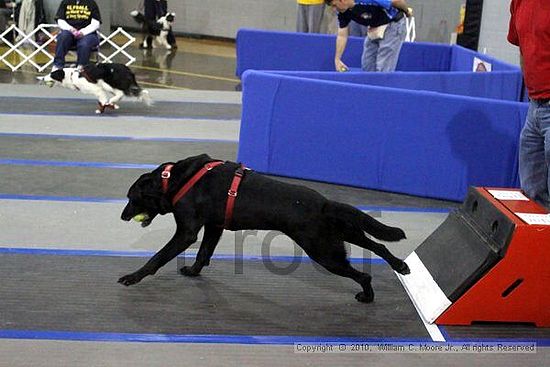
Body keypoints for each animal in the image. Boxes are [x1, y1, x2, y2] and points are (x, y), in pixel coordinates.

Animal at [122, 154, 414, 304]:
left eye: (132, 198)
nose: (123, 217)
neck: (172, 180)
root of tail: (325, 203)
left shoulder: (186, 232)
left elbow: (157, 258)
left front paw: (132, 277)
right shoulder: (214, 227)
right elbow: (204, 254)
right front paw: (193, 272)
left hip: (325, 253)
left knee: (364, 274)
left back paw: (368, 296)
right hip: (340, 237)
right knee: (379, 244)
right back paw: (400, 266)